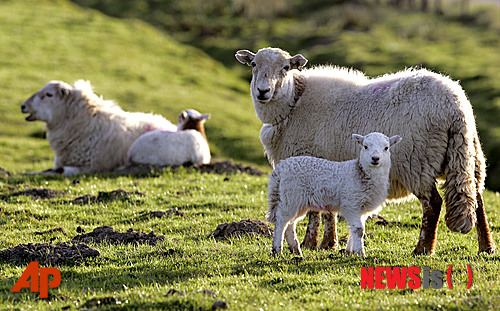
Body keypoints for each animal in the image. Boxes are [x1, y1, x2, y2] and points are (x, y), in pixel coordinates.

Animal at [266, 133, 402, 258]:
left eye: (386, 148)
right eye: (365, 146)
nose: (375, 158)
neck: (361, 173)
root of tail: (280, 168)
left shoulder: (362, 209)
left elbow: (355, 229)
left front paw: (350, 251)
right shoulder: (351, 204)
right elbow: (359, 230)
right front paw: (360, 253)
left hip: (298, 201)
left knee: (290, 223)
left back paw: (296, 250)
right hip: (291, 195)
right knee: (281, 221)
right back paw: (277, 250)